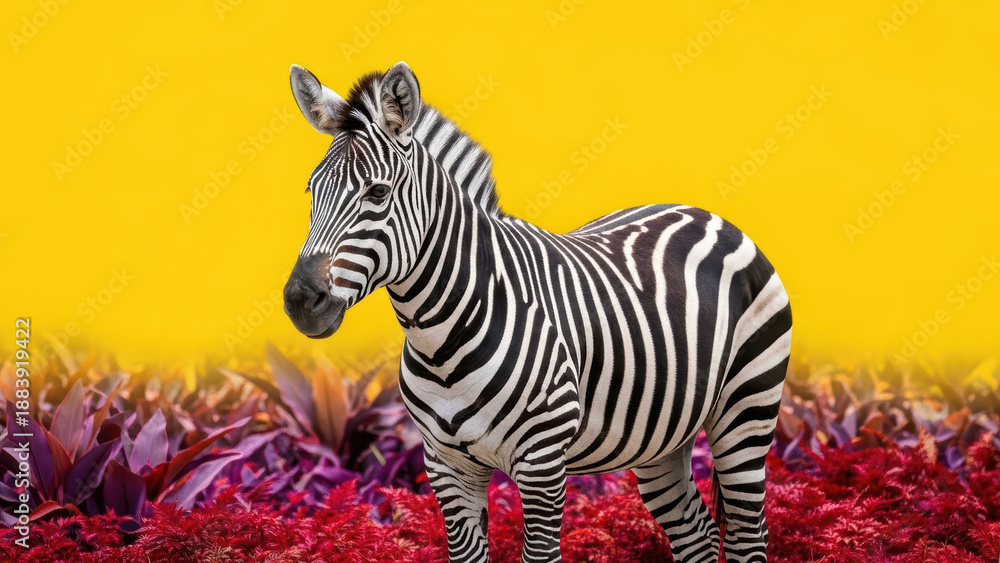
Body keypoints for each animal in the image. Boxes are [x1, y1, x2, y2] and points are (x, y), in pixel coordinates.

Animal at [282, 61, 792, 563]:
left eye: (377, 192)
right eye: (310, 191)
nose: (300, 301)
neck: (443, 341)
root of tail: (705, 213)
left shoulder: (542, 462)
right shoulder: (445, 465)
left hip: (746, 412)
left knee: (747, 535)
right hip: (662, 438)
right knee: (698, 536)